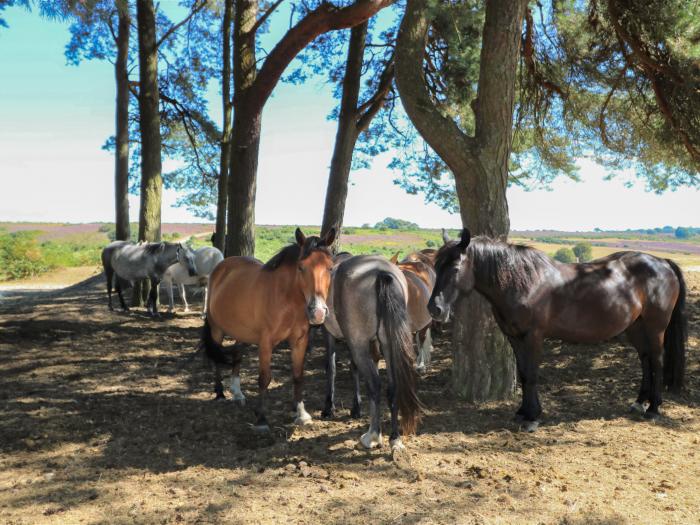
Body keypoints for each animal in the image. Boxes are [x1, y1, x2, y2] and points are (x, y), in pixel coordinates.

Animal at [202, 227, 336, 432]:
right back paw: (219, 394)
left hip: (242, 333)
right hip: (217, 329)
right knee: (215, 357)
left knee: (237, 356)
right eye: (301, 267)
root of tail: (221, 266)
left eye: (330, 267)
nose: (318, 312)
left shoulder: (299, 341)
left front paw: (301, 414)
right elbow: (264, 378)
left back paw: (237, 393)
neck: (287, 299)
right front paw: (262, 419)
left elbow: (298, 376)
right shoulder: (266, 343)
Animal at [322, 255, 422, 450]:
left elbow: (332, 368)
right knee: (392, 386)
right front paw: (355, 408)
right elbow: (353, 368)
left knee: (375, 384)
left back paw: (373, 435)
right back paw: (394, 438)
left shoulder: (333, 336)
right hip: (388, 344)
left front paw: (329, 407)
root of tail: (380, 272)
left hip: (358, 345)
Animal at [430, 228, 688, 430]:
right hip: (636, 326)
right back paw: (639, 402)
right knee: (645, 358)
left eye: (455, 268)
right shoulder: (515, 337)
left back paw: (653, 408)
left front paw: (532, 418)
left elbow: (531, 374)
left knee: (656, 359)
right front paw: (523, 412)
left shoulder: (533, 336)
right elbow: (523, 373)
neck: (525, 283)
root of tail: (662, 262)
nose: (435, 308)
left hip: (655, 327)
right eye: (435, 266)